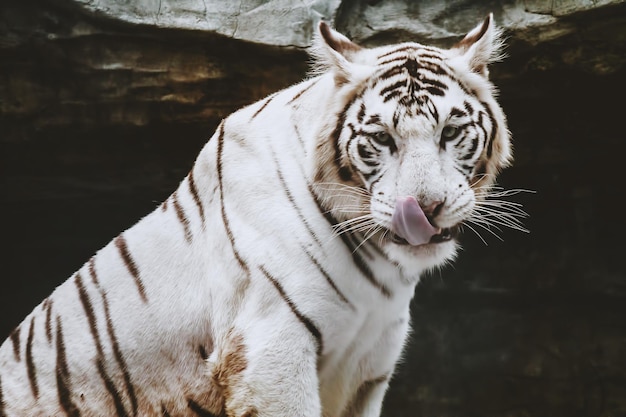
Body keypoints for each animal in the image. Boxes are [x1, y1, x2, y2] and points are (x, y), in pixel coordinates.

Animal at [0, 14, 512, 416]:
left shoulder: (369, 365)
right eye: (382, 138)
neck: (381, 268)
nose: (426, 208)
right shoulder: (271, 347)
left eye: (451, 132)